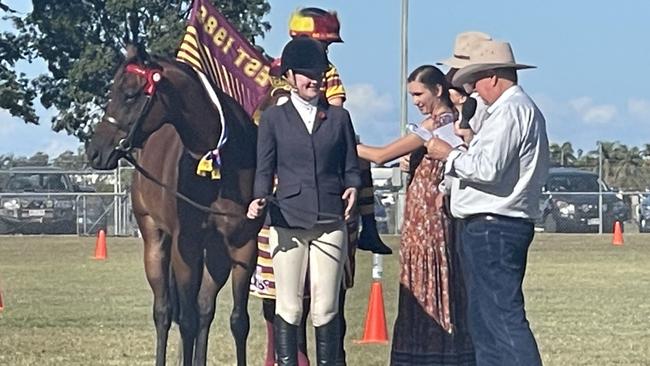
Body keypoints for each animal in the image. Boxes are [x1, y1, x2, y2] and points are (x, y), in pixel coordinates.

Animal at [85, 44, 262, 364]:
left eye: (130, 94)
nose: (94, 151)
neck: (219, 163)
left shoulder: (243, 245)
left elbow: (237, 321)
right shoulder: (185, 247)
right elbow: (186, 321)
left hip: (215, 253)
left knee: (204, 309)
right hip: (156, 242)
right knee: (165, 313)